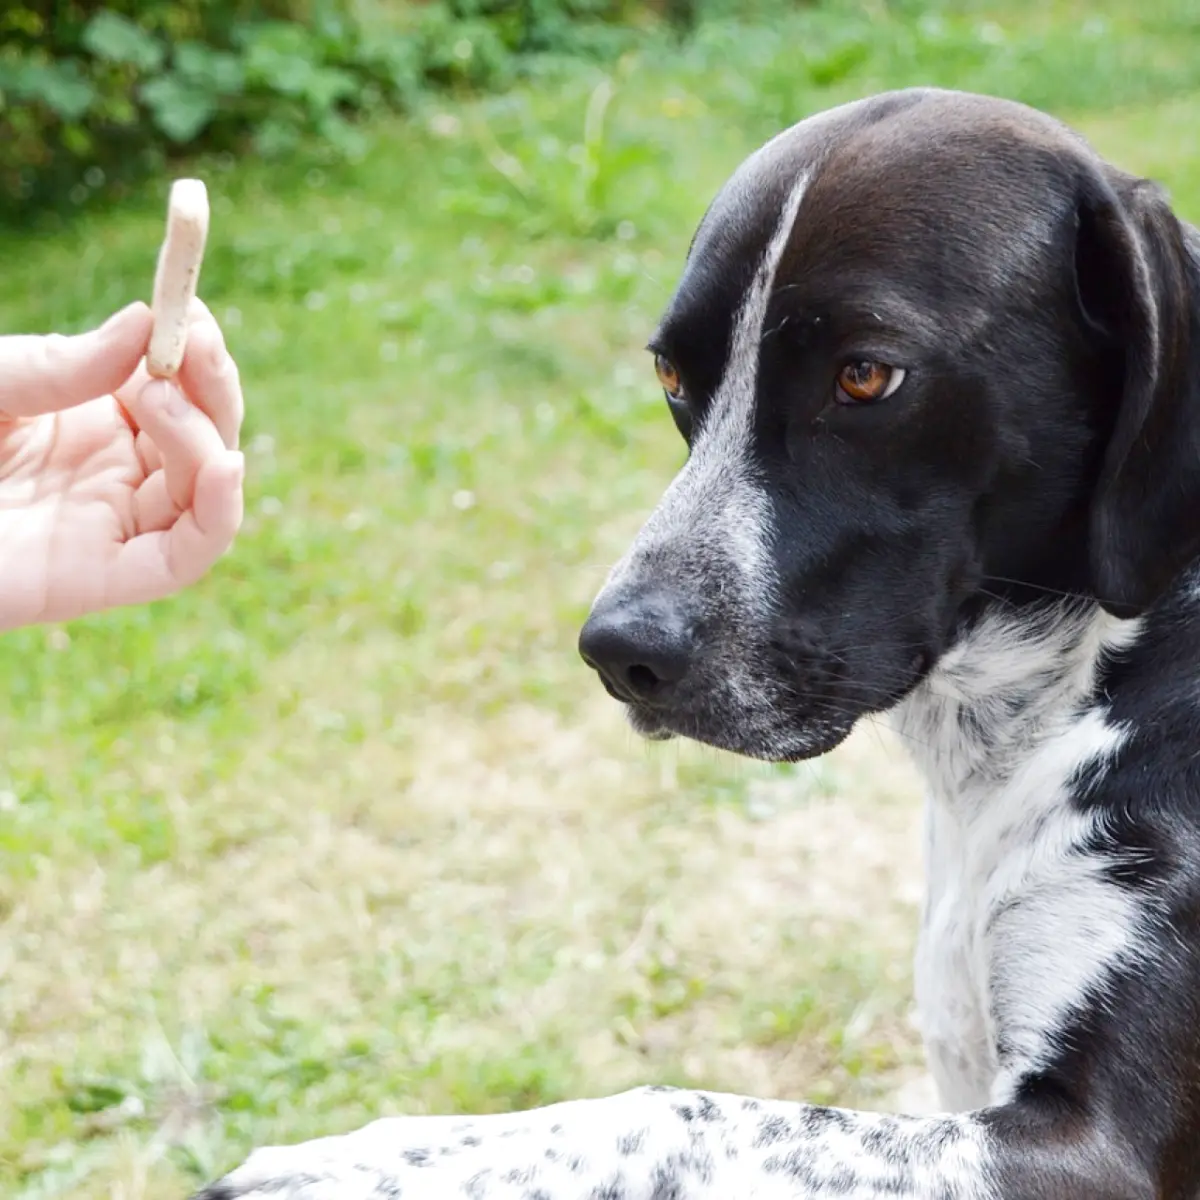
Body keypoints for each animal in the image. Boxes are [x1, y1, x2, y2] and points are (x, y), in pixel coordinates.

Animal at [194, 87, 1200, 1200]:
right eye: (674, 375)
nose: (618, 650)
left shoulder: (1090, 1152)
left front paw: (361, 1164)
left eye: (866, 377)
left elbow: (665, 1109)